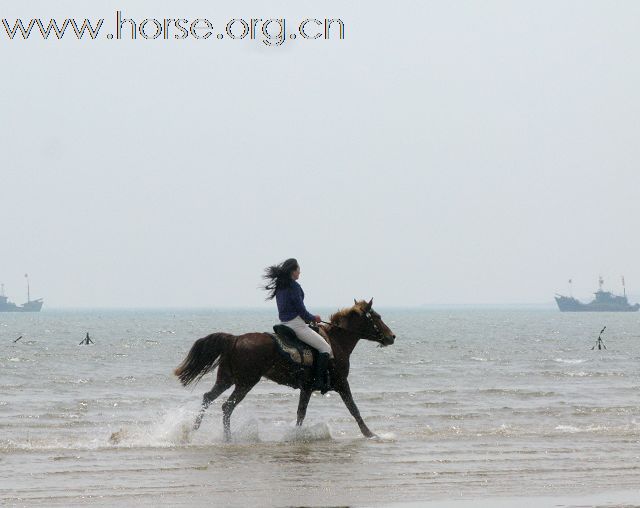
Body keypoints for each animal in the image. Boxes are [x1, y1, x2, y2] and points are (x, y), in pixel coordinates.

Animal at [175, 300, 396, 438]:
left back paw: (194, 430)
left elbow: (301, 413)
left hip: (226, 379)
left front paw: (296, 434)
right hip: (246, 382)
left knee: (208, 398)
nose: (392, 336)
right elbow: (354, 409)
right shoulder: (342, 383)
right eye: (377, 316)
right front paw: (370, 434)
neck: (336, 342)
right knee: (226, 407)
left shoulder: (307, 388)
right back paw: (227, 438)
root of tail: (235, 339)